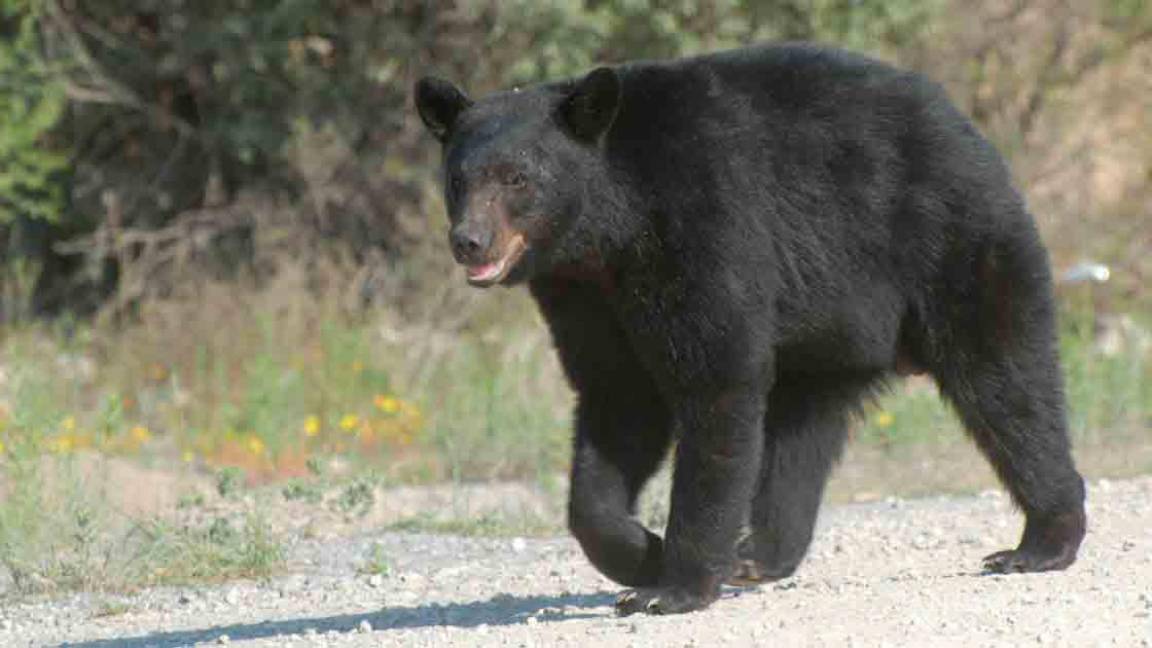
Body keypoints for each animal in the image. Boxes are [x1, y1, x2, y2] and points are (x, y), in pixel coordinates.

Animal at [417, 42, 1087, 613]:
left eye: (517, 178)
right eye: (457, 178)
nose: (468, 241)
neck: (609, 230)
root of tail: (965, 125)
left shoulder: (700, 225)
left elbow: (716, 382)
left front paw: (674, 587)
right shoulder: (583, 295)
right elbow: (615, 398)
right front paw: (641, 553)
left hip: (952, 246)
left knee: (1006, 384)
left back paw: (1040, 541)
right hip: (826, 334)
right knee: (799, 435)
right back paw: (759, 555)